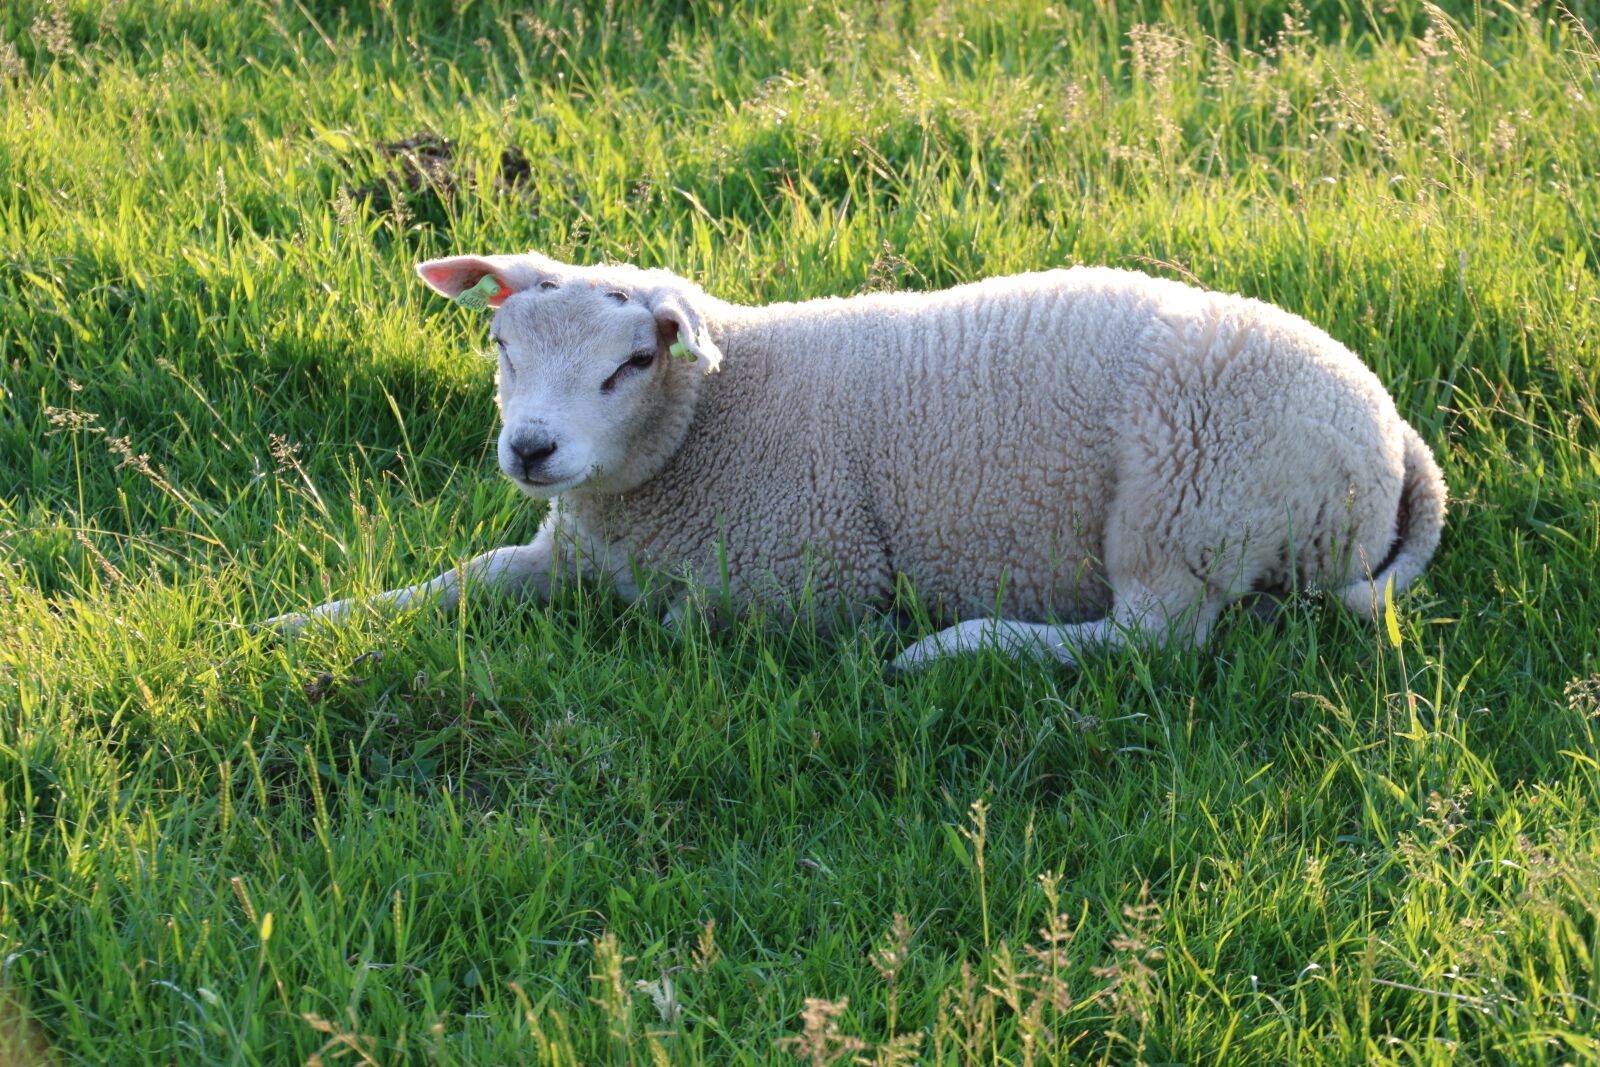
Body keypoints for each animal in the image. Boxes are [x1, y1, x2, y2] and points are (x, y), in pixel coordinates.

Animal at [266, 252, 1446, 672]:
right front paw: (292, 624)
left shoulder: (811, 575)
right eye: (503, 345)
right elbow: (453, 581)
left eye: (632, 362)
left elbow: (684, 623)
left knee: (1151, 639)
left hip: (1184, 504)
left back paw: (951, 647)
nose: (531, 448)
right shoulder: (561, 547)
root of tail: (1394, 441)